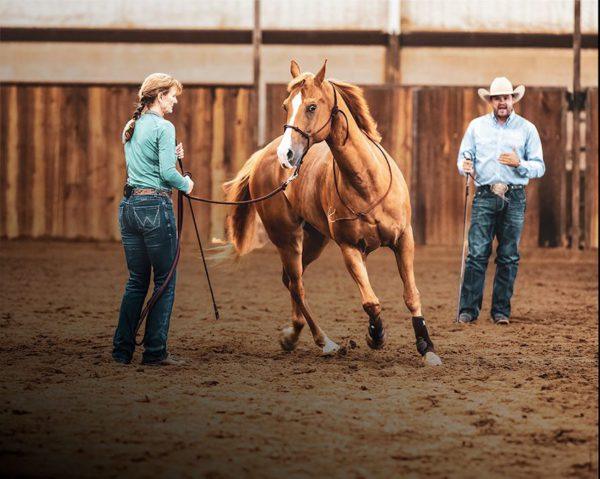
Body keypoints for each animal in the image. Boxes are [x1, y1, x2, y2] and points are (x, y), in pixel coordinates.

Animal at [223, 60, 442, 366]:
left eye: (312, 106)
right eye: (285, 105)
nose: (286, 155)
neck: (367, 182)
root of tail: (262, 157)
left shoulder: (403, 240)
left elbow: (411, 294)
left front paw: (427, 347)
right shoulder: (349, 247)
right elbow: (370, 301)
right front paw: (376, 335)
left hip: (314, 240)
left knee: (290, 281)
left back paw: (292, 334)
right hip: (288, 239)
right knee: (297, 285)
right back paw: (325, 342)